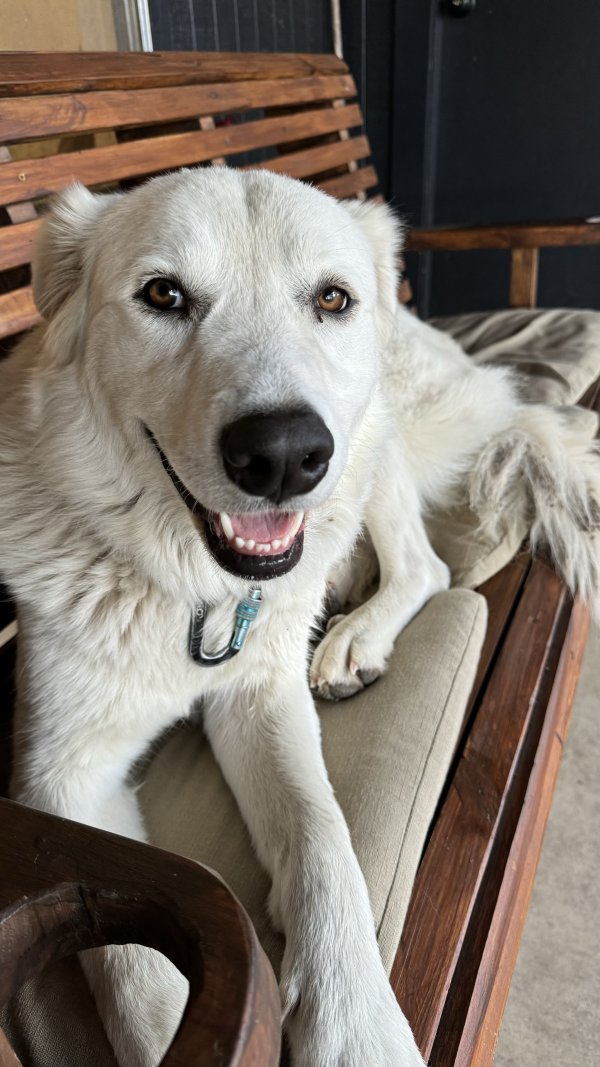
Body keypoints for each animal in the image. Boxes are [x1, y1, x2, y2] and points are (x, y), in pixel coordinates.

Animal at [1, 168, 597, 1067]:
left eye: (331, 298)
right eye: (163, 293)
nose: (283, 456)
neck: (195, 594)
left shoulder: (261, 699)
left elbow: (323, 834)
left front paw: (356, 1019)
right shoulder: (63, 778)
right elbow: (133, 968)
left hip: (372, 439)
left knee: (424, 564)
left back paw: (354, 634)